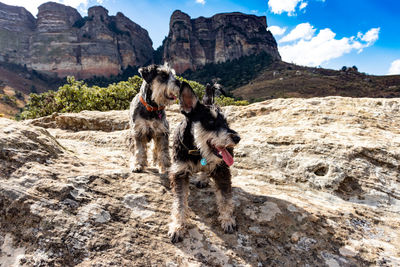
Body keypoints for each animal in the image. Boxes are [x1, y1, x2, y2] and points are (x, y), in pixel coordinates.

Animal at [168, 80, 241, 244]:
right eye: (210, 121)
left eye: (226, 122)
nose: (237, 138)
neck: (196, 150)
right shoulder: (179, 172)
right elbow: (179, 203)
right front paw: (177, 227)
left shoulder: (222, 170)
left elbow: (225, 198)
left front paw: (227, 220)